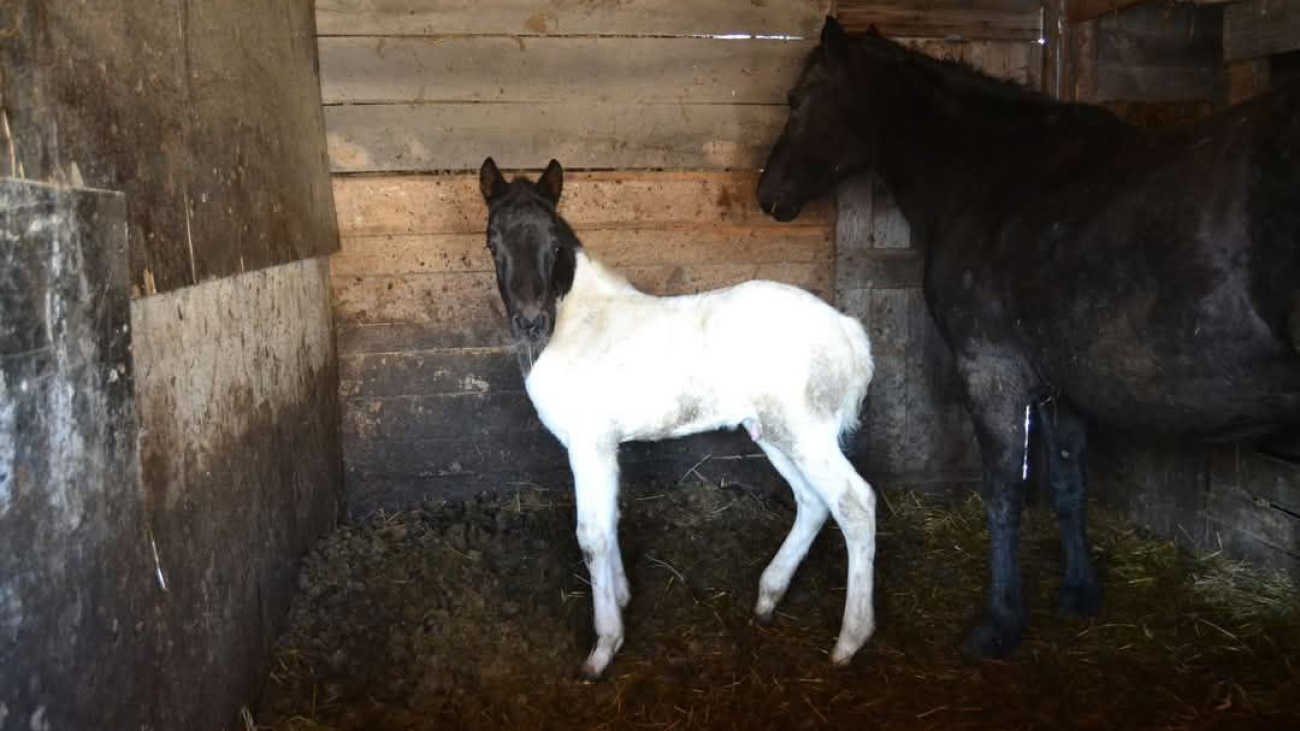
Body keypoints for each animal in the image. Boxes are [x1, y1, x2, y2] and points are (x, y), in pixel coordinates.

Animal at [475, 158, 873, 676]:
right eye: (492, 240)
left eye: (553, 242)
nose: (530, 322)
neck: (577, 325)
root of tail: (847, 330)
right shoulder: (605, 447)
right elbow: (611, 521)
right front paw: (622, 598)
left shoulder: (589, 444)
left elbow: (592, 536)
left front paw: (604, 647)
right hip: (774, 433)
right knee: (812, 502)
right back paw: (768, 597)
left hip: (807, 434)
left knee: (855, 505)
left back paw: (849, 641)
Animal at [759, 17, 1300, 655]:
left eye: (797, 99)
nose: (767, 195)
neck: (989, 175)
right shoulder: (1059, 388)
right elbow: (1068, 486)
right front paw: (1079, 594)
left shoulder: (992, 375)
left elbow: (1003, 496)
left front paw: (999, 622)